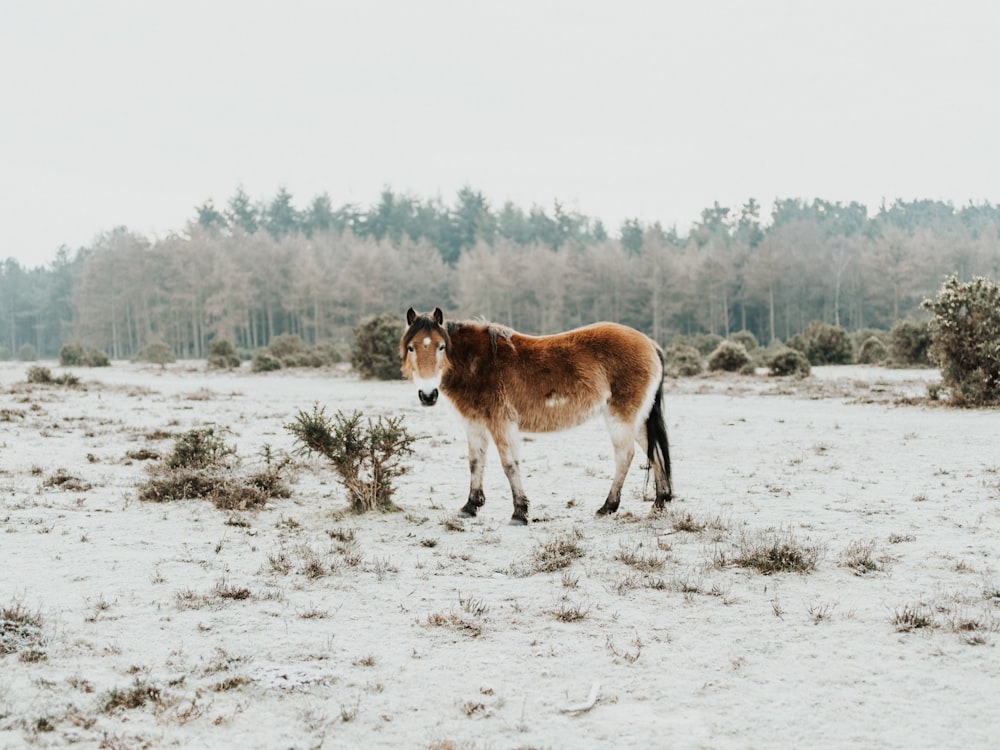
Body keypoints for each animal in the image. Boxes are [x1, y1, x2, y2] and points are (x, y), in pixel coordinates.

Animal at [400, 308, 672, 524]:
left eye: (441, 346)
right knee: (655, 453)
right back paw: (660, 503)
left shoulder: (501, 423)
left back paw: (607, 507)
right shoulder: (474, 424)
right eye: (411, 347)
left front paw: (519, 512)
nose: (428, 394)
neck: (477, 363)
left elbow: (509, 464)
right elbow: (475, 463)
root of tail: (650, 344)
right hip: (637, 419)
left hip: (620, 417)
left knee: (625, 455)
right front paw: (470, 506)